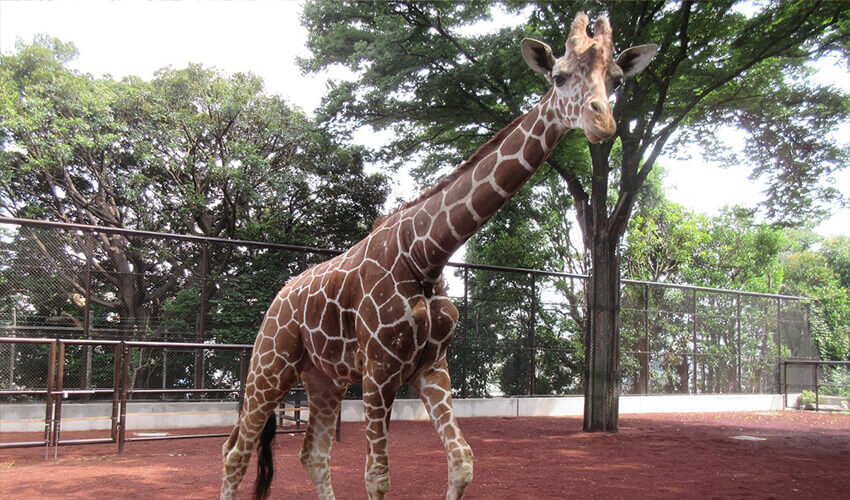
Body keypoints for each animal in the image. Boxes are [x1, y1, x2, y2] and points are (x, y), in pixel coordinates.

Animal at [220, 12, 656, 500]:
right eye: (559, 77)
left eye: (615, 80)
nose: (604, 123)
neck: (426, 253)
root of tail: (276, 299)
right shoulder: (379, 369)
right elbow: (377, 476)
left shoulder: (431, 367)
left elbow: (462, 461)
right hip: (269, 366)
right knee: (236, 452)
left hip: (322, 378)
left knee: (312, 454)